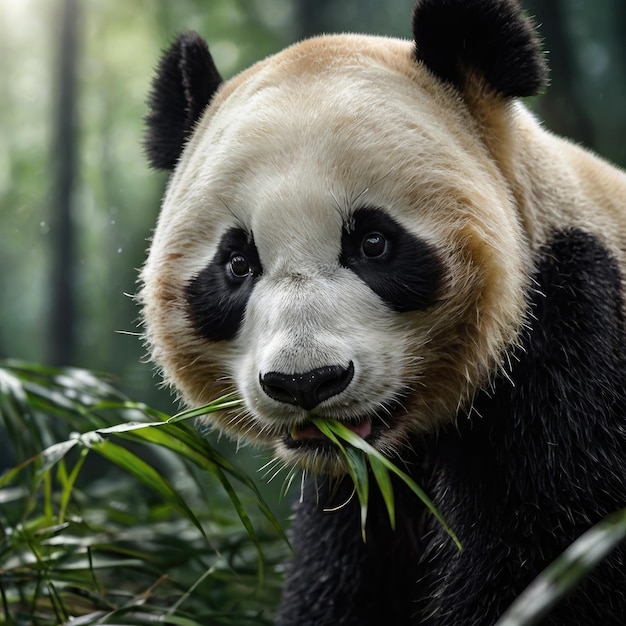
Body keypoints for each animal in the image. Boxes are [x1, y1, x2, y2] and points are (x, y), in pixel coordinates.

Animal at [140, 0, 624, 620]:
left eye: (373, 243)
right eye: (238, 263)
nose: (305, 382)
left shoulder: (577, 342)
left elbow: (550, 556)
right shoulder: (355, 495)